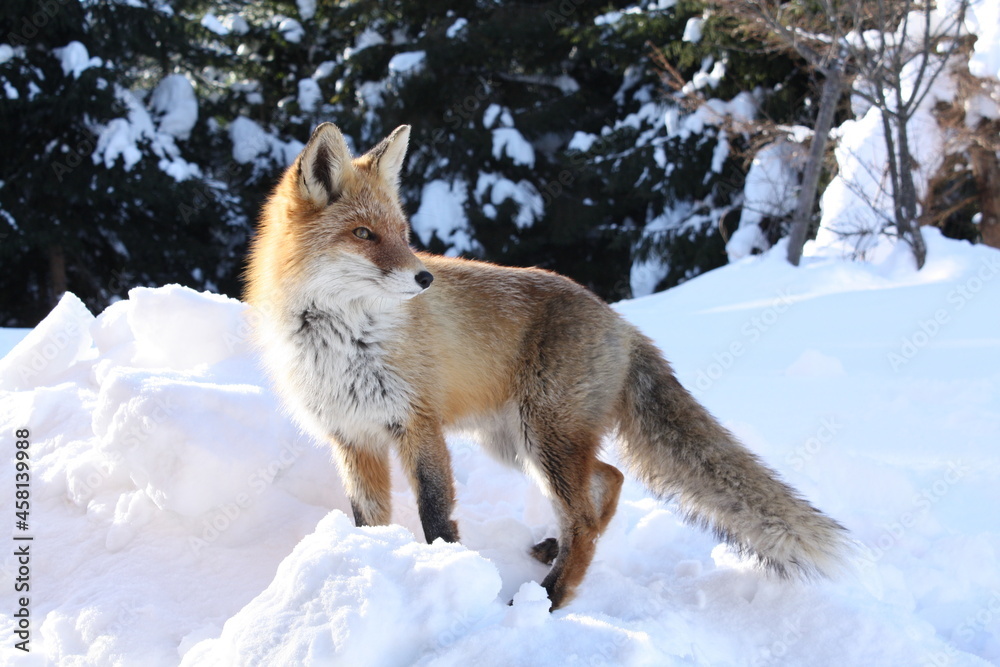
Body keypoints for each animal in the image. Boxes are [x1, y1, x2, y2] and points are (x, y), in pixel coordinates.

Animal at [245, 122, 850, 610]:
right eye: (363, 234)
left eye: (402, 233)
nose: (424, 278)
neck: (343, 341)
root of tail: (620, 320)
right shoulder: (352, 437)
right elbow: (368, 521)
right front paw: (371, 563)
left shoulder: (417, 424)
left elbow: (437, 516)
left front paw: (446, 570)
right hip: (518, 444)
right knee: (607, 482)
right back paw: (555, 552)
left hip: (543, 439)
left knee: (583, 515)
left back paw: (552, 597)